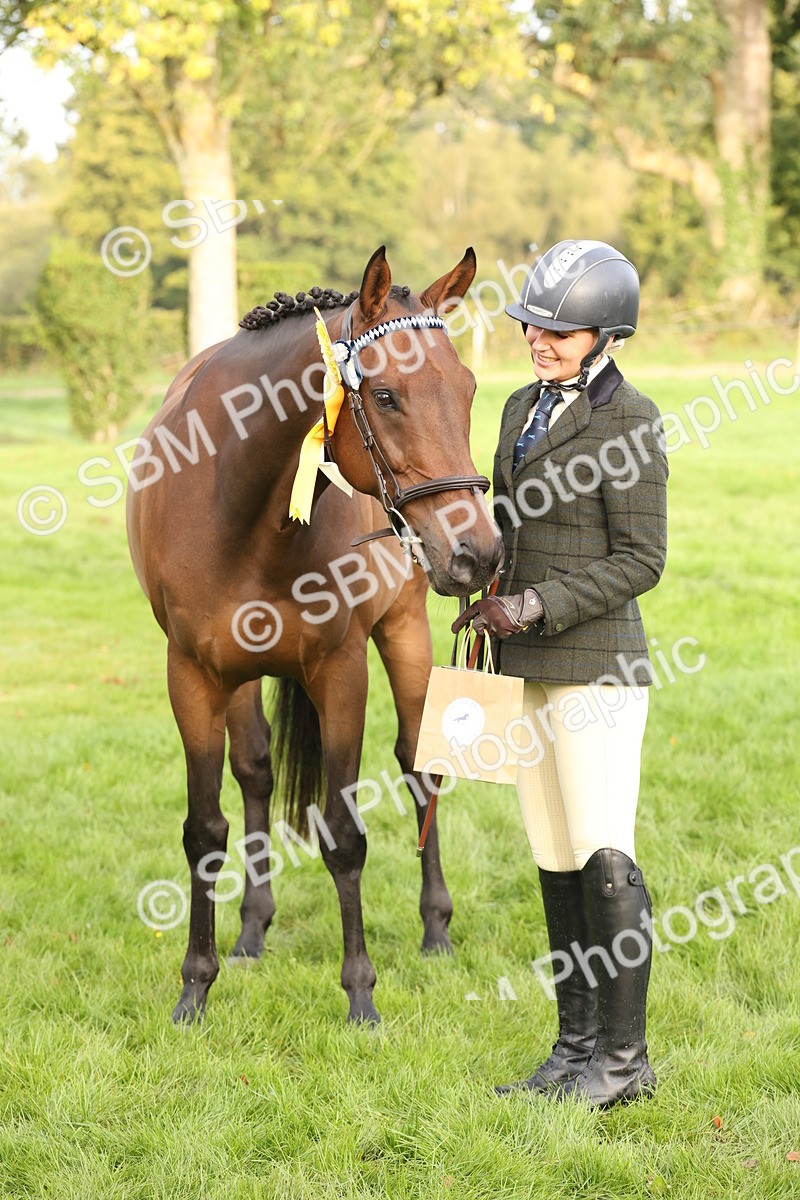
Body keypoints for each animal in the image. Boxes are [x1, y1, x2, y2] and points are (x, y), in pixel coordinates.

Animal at [126, 246, 503, 1025]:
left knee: (418, 766)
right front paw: (195, 986)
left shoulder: (340, 671)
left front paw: (360, 993)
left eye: (468, 389)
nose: (478, 554)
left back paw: (435, 928)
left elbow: (344, 833)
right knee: (256, 775)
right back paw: (251, 931)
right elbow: (205, 830)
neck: (236, 508)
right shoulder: (193, 675)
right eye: (385, 396)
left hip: (405, 632)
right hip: (241, 677)